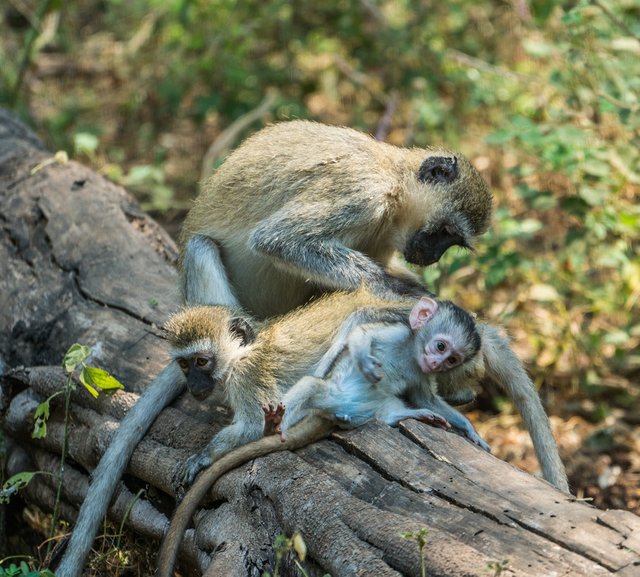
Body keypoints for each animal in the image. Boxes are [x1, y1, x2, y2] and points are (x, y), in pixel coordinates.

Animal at [180, 120, 496, 318]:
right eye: (445, 230)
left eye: (453, 240)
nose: (433, 256)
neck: (395, 181)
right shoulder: (363, 191)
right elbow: (277, 239)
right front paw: (398, 289)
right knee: (201, 246)